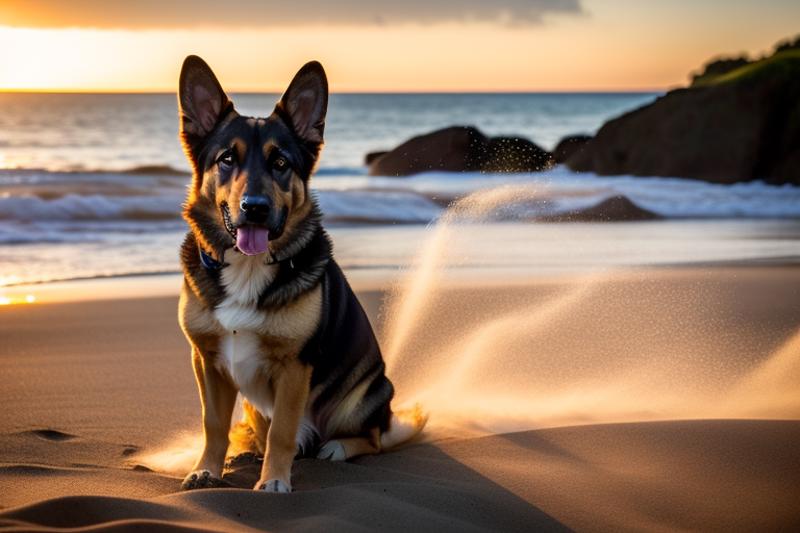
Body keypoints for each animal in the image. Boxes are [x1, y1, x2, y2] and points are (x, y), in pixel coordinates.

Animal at [175, 56, 424, 492]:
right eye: (226, 159)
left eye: (280, 163)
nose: (255, 207)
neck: (249, 267)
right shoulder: (206, 360)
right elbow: (214, 424)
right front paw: (206, 469)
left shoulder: (295, 367)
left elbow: (283, 432)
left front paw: (274, 480)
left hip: (365, 393)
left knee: (373, 438)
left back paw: (337, 447)